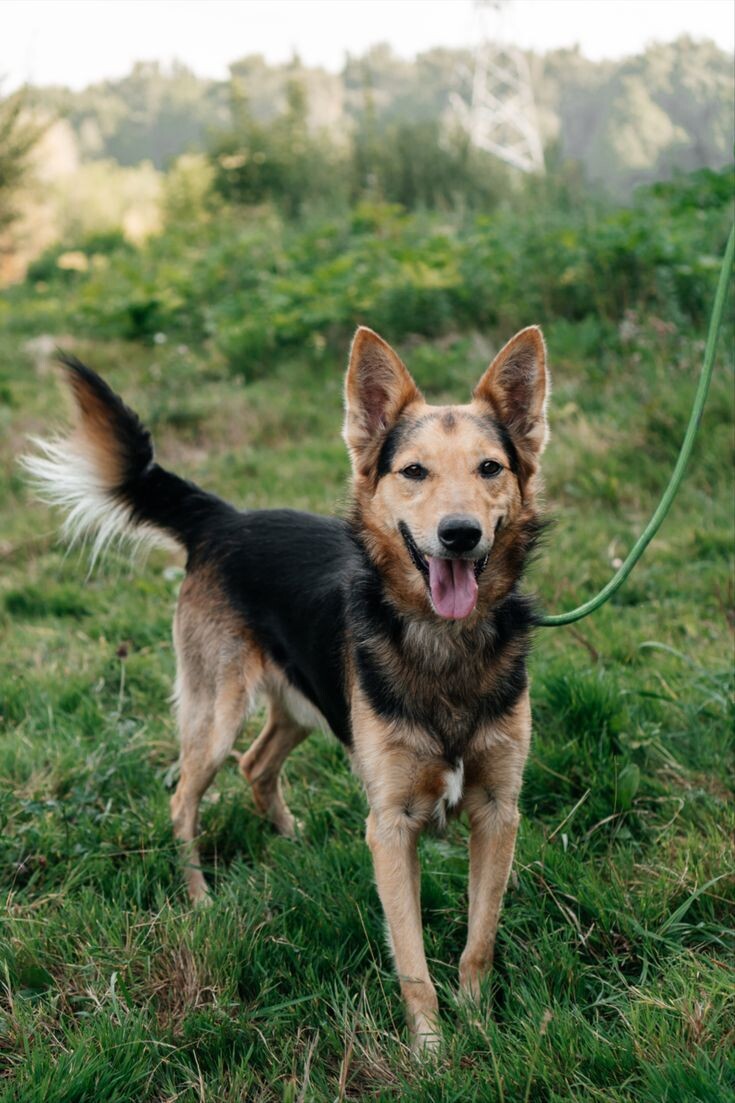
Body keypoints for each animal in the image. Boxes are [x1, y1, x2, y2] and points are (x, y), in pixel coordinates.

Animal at [24, 324, 549, 1052]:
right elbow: (414, 960)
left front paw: (478, 1028)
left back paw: (292, 838)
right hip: (216, 713)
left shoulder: (498, 812)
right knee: (185, 797)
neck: (443, 644)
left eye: (490, 469)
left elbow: (479, 939)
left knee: (256, 763)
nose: (459, 535)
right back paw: (199, 898)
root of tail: (222, 519)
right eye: (413, 471)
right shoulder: (390, 826)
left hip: (304, 702)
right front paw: (430, 1051)